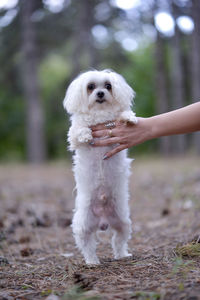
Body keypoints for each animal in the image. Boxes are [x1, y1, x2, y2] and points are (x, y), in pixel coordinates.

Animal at [63, 69, 137, 264]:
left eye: (108, 86)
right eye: (90, 87)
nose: (101, 93)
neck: (100, 113)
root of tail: (103, 221)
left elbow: (123, 116)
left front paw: (130, 118)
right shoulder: (73, 136)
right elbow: (79, 130)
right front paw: (86, 135)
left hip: (122, 222)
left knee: (118, 241)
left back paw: (122, 255)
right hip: (83, 226)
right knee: (88, 246)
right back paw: (92, 262)